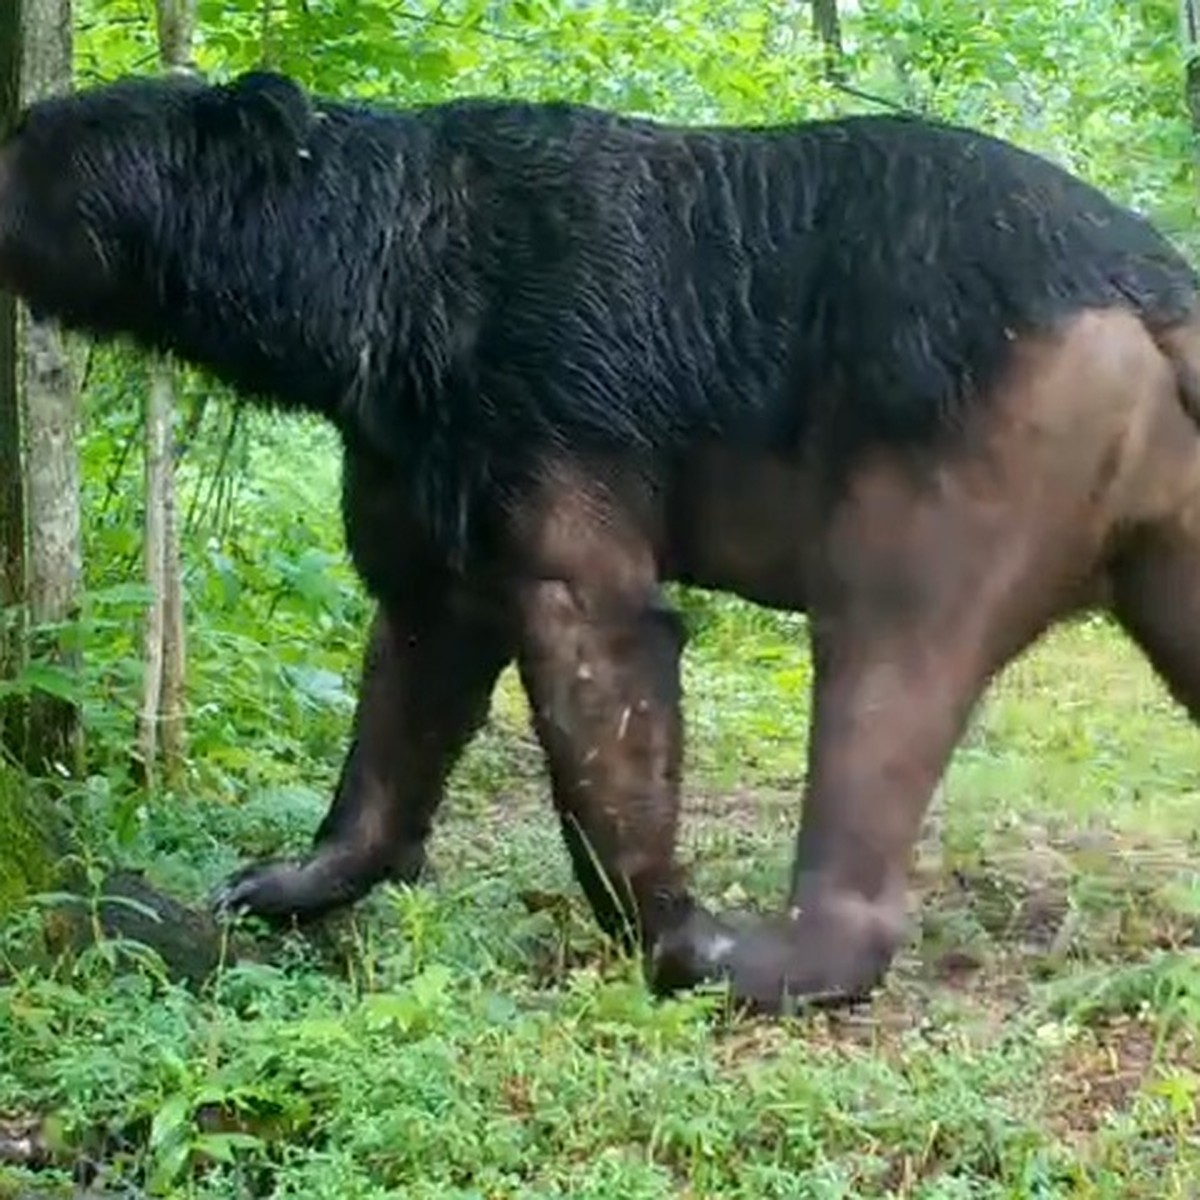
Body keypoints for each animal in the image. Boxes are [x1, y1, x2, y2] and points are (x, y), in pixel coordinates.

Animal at [2, 70, 1200, 1012]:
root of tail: (1153, 287)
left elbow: (592, 631)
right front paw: (285, 876)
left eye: (32, 145)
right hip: (1166, 513)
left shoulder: (549, 394)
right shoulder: (415, 444)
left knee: (886, 667)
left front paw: (668, 922)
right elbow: (415, 648)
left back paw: (774, 954)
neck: (383, 298)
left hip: (962, 452)